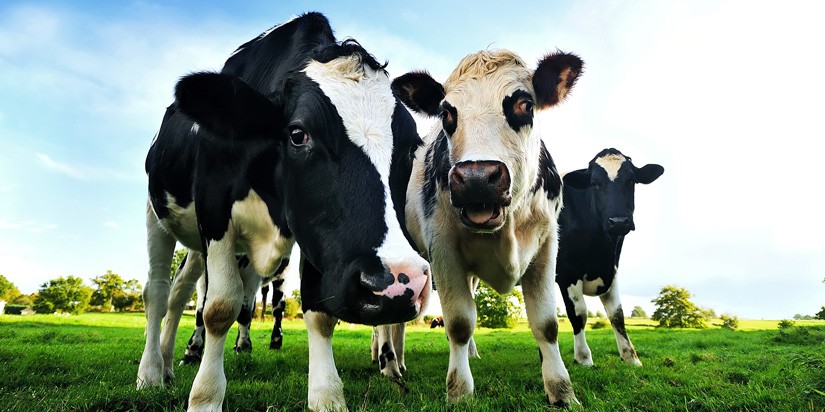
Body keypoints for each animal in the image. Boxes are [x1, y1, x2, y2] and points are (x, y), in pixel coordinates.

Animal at [135, 12, 432, 408]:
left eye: (412, 146)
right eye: (297, 134)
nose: (399, 283)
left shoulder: (315, 235)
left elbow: (318, 312)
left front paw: (327, 397)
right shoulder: (214, 210)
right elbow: (220, 306)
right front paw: (205, 398)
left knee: (180, 290)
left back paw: (169, 363)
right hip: (157, 215)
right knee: (158, 290)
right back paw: (151, 372)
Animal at [390, 50, 584, 408]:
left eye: (525, 104)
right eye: (447, 113)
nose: (477, 178)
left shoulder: (546, 247)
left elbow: (547, 324)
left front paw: (562, 391)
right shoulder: (443, 250)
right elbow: (459, 323)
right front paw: (459, 391)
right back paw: (389, 365)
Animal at [552, 148, 664, 366]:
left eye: (632, 180)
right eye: (594, 183)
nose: (618, 221)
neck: (601, 249)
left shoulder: (611, 271)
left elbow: (617, 314)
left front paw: (631, 357)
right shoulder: (567, 273)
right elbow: (579, 313)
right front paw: (583, 358)